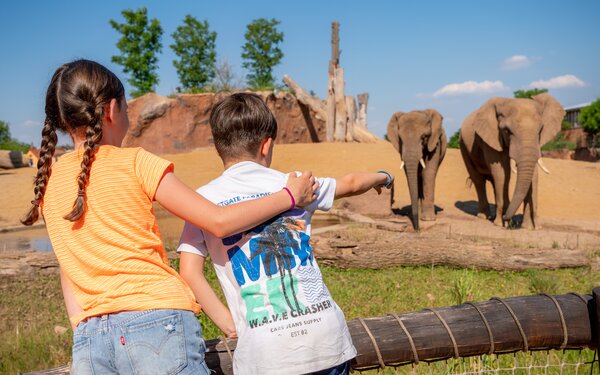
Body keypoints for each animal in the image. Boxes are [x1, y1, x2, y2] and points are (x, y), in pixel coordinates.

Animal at [462, 93, 564, 229]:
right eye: (507, 131)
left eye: (540, 130)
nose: (508, 217)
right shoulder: (491, 138)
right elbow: (502, 173)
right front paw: (502, 224)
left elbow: (534, 175)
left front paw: (530, 228)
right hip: (463, 146)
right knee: (478, 180)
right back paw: (485, 216)